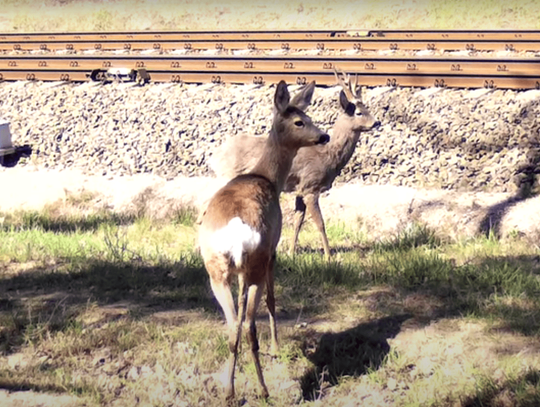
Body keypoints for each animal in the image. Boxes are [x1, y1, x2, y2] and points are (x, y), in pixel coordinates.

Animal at [198, 81, 330, 404]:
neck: (266, 177)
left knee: (233, 325)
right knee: (248, 325)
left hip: (216, 270)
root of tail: (236, 234)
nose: (324, 136)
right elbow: (272, 299)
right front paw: (277, 347)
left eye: (308, 115)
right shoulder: (273, 251)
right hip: (256, 263)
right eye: (299, 122)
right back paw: (263, 389)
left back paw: (230, 392)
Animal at [209, 67, 378, 258]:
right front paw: (329, 256)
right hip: (228, 177)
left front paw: (291, 252)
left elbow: (298, 221)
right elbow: (320, 223)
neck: (328, 157)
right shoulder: (311, 186)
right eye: (359, 112)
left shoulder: (300, 190)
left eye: (367, 107)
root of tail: (213, 156)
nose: (377, 122)